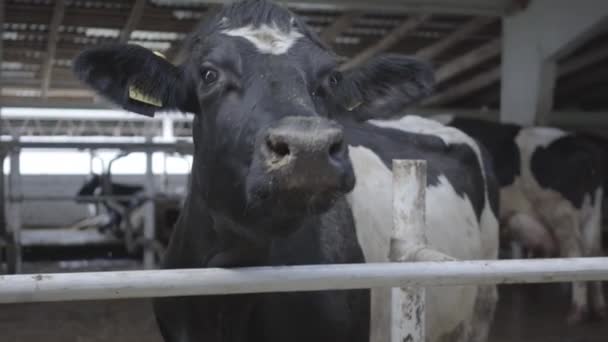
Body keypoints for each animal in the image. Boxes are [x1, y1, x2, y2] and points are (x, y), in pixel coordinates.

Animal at [434, 115, 604, 324]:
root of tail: (587, 151)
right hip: (592, 216)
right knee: (594, 251)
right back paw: (599, 309)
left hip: (562, 213)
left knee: (575, 254)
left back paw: (576, 312)